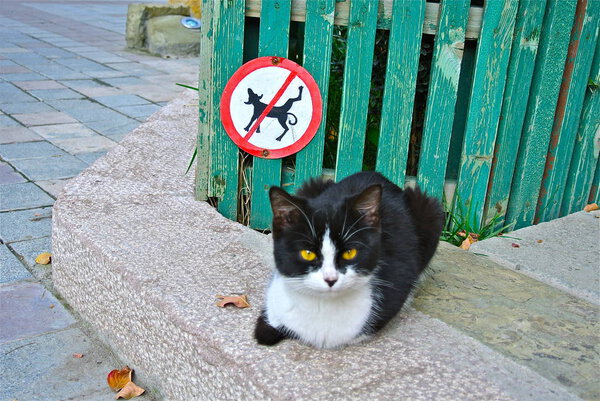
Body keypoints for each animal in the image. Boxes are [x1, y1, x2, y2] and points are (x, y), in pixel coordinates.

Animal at [253, 170, 446, 348]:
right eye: (308, 253)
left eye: (349, 253)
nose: (330, 279)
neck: (323, 306)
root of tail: (375, 174)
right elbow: (266, 329)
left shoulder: (399, 275)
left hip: (430, 210)